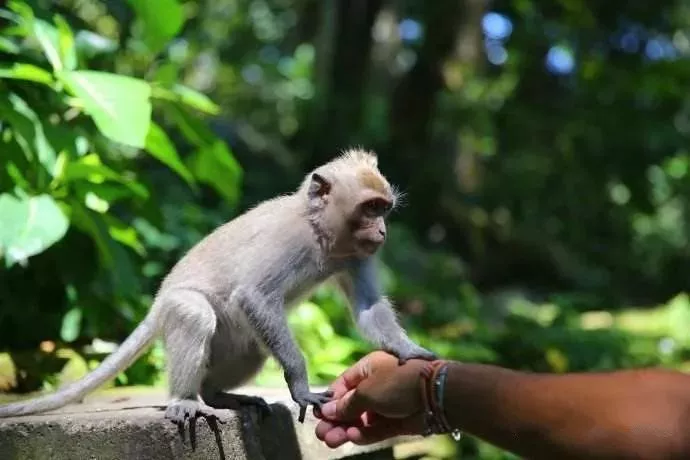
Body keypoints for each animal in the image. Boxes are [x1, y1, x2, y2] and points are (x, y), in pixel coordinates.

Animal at [0, 147, 432, 424]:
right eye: (370, 208)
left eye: (384, 208)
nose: (382, 231)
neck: (319, 231)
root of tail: (157, 303)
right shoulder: (291, 240)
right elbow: (254, 295)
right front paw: (300, 384)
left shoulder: (356, 254)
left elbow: (368, 307)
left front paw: (409, 351)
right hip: (174, 307)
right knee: (194, 315)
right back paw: (186, 399)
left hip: (235, 340)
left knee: (252, 350)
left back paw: (217, 396)